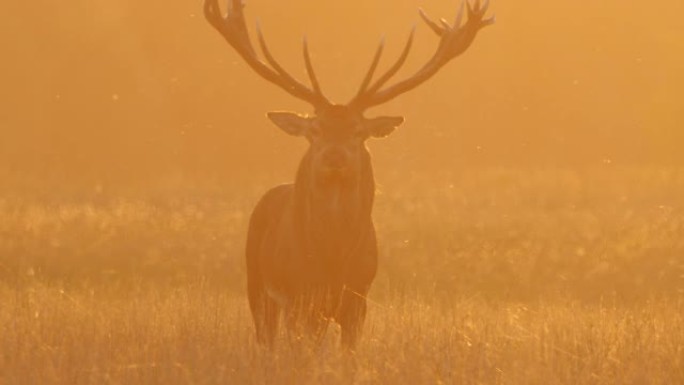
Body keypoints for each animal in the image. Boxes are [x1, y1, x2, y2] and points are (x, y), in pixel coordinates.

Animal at [203, 0, 492, 348]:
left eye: (357, 130)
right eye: (315, 129)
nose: (334, 155)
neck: (333, 257)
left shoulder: (358, 296)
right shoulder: (299, 296)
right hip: (257, 284)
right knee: (267, 340)